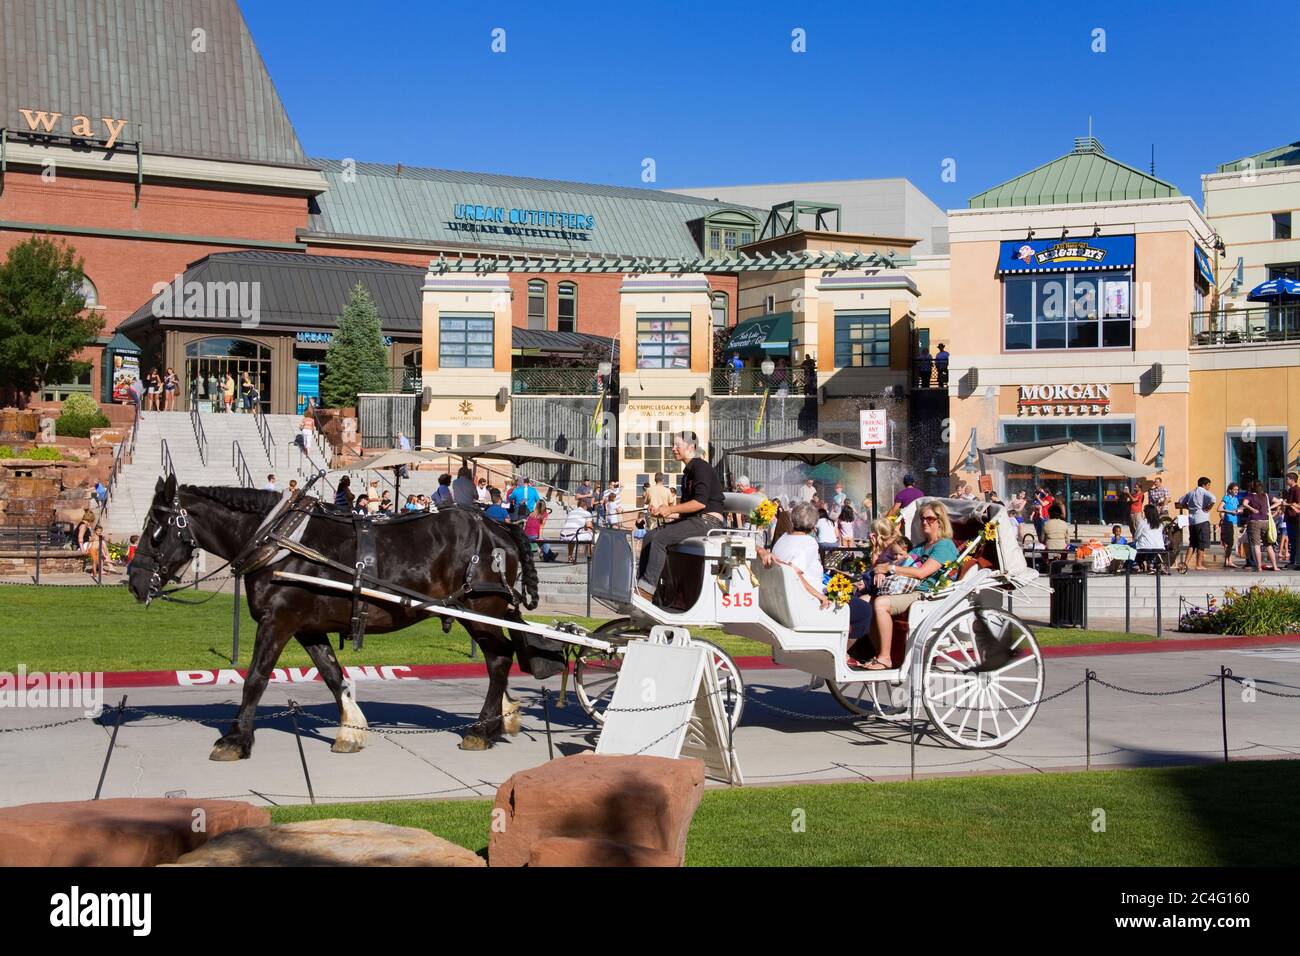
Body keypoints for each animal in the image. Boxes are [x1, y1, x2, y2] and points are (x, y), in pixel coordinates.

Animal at [125, 476, 564, 764]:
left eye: (156, 530)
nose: (135, 581)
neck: (278, 542)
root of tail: (500, 526)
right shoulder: (308, 628)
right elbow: (333, 675)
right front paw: (350, 729)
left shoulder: (278, 621)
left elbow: (256, 679)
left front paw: (235, 739)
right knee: (501, 658)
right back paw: (499, 719)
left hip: (480, 611)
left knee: (499, 659)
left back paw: (482, 728)